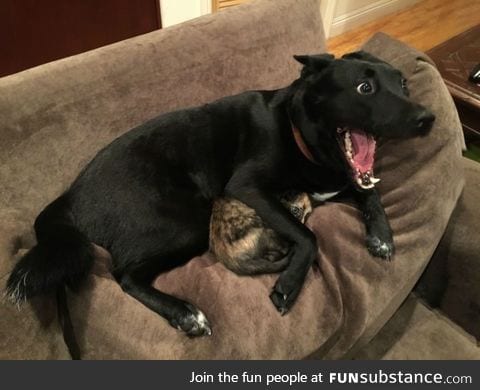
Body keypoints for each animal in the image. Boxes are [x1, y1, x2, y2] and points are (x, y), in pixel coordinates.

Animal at [6, 51, 436, 338]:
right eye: (365, 87)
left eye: (403, 84)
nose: (428, 119)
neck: (301, 133)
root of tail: (69, 198)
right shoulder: (247, 187)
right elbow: (308, 235)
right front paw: (289, 284)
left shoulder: (348, 180)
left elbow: (371, 193)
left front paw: (382, 235)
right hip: (185, 224)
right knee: (124, 276)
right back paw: (185, 314)